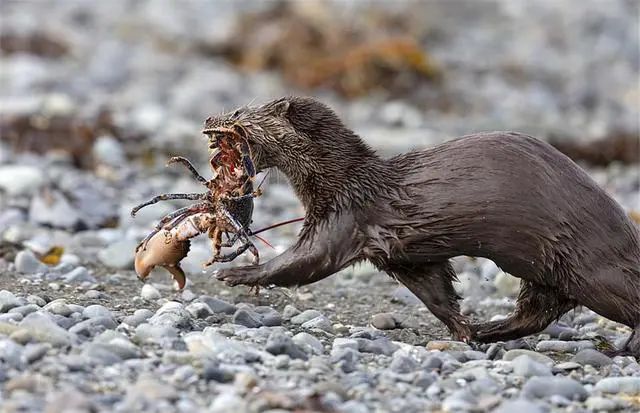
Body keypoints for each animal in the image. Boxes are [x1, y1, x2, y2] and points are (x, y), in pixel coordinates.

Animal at [208, 96, 636, 354]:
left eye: (239, 116)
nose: (212, 118)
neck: (345, 180)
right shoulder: (403, 255)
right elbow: (435, 291)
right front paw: (463, 330)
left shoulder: (344, 217)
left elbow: (305, 261)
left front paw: (238, 273)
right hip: (544, 270)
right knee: (538, 311)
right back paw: (489, 330)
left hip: (592, 265)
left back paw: (627, 346)